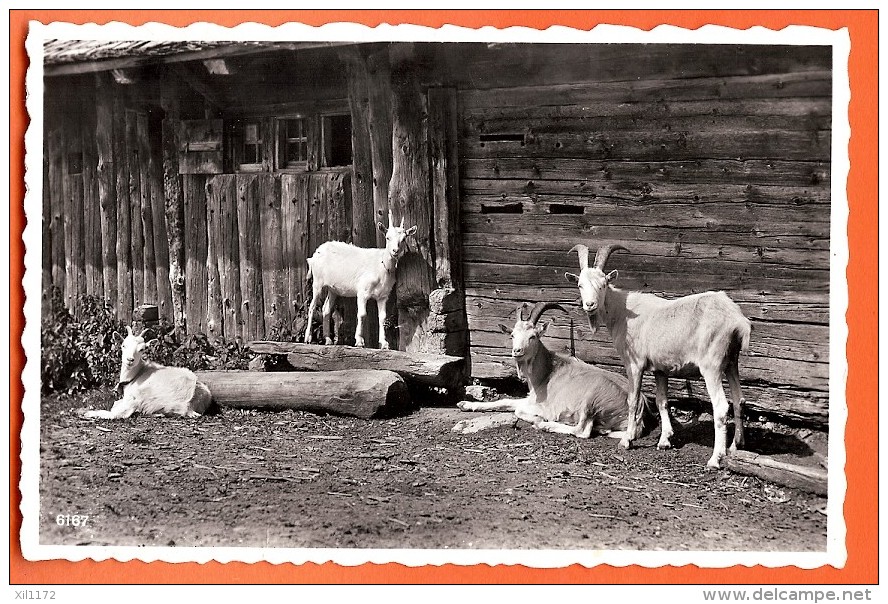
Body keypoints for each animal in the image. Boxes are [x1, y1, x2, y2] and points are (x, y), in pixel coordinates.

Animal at [83, 326, 215, 420]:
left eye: (142, 349)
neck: (135, 376)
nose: (130, 359)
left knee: (118, 414)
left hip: (144, 396)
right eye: (123, 345)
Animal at [304, 211, 418, 350]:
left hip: (333, 289)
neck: (381, 265)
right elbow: (362, 314)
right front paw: (359, 341)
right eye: (387, 237)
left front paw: (384, 343)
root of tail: (316, 253)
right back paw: (308, 338)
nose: (395, 251)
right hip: (317, 282)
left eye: (403, 239)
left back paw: (328, 339)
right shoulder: (362, 291)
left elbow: (382, 317)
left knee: (326, 309)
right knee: (312, 306)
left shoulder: (383, 296)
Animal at [454, 300, 656, 438]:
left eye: (533, 336)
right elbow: (505, 401)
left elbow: (518, 410)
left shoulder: (545, 406)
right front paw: (465, 404)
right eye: (512, 335)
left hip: (592, 400)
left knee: (582, 430)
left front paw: (540, 420)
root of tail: (640, 411)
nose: (517, 351)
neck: (547, 373)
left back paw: (546, 426)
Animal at [568, 243, 748, 470]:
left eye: (603, 284)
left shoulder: (634, 364)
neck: (623, 312)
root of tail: (737, 320)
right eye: (580, 285)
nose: (589, 305)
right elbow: (662, 400)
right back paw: (735, 446)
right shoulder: (660, 368)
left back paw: (716, 458)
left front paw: (627, 440)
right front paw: (664, 440)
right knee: (739, 399)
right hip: (732, 361)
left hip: (712, 365)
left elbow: (633, 400)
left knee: (721, 406)